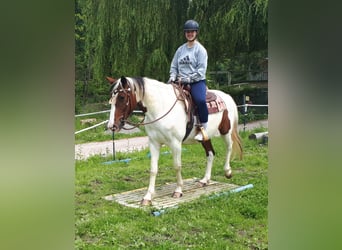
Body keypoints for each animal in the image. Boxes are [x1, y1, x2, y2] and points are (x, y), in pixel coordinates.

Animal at [107, 76, 243, 205]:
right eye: (111, 98)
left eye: (122, 97)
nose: (112, 126)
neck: (161, 107)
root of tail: (226, 96)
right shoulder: (154, 143)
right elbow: (153, 169)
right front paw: (148, 196)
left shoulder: (175, 143)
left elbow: (177, 166)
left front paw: (178, 190)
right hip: (205, 137)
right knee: (210, 153)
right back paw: (205, 180)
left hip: (226, 131)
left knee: (229, 147)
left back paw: (228, 171)